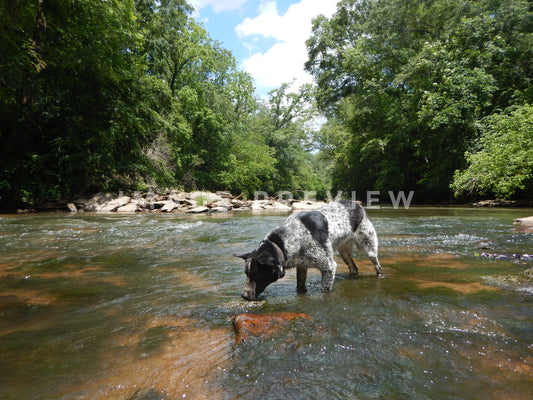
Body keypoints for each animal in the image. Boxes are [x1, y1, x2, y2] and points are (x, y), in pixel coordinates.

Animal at [235, 200, 380, 300]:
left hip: (369, 247)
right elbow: (300, 287)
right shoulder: (302, 266)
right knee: (354, 268)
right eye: (246, 274)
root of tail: (358, 205)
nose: (244, 296)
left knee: (377, 265)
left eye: (258, 275)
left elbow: (324, 291)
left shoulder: (329, 267)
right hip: (344, 252)